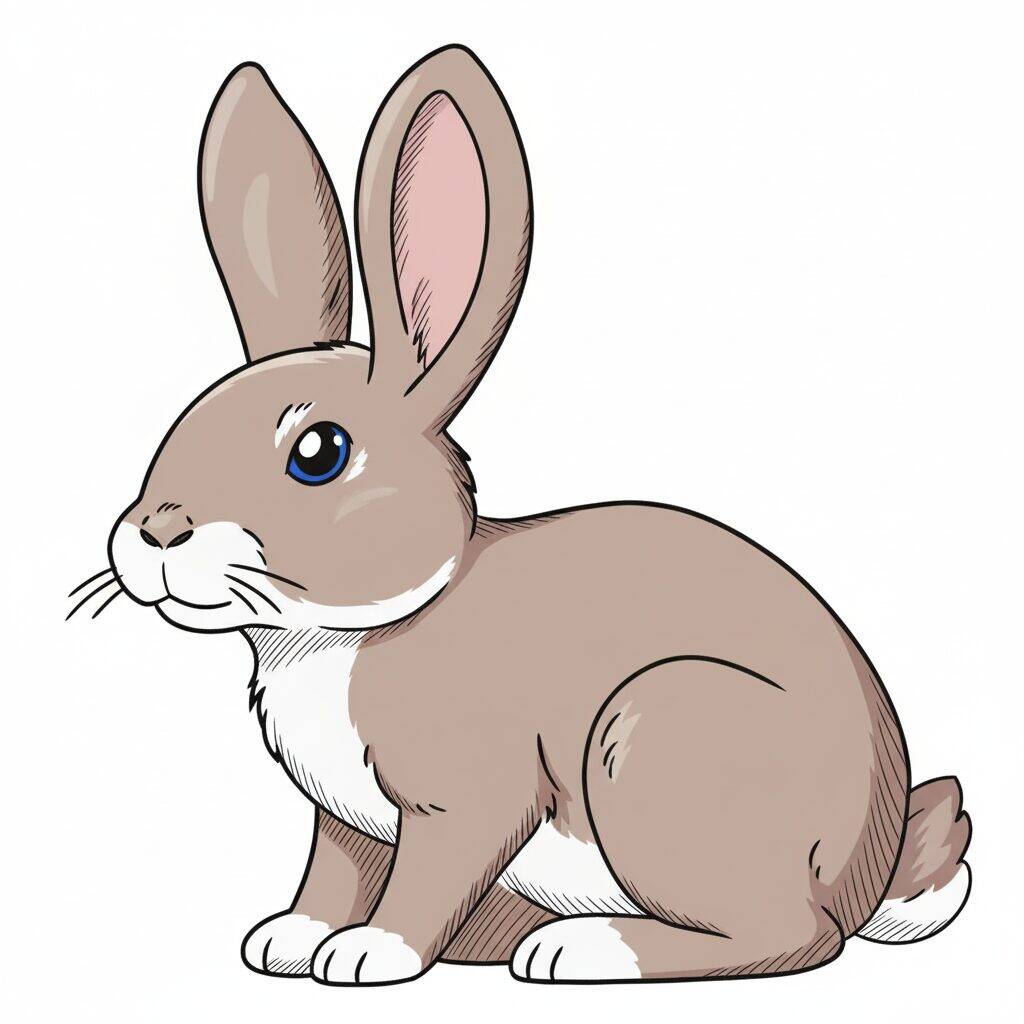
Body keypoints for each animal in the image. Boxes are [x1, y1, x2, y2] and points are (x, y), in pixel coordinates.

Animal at [70, 45, 972, 985]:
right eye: (189, 419)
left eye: (318, 453)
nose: (154, 531)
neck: (351, 632)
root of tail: (865, 868)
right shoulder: (347, 824)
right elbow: (332, 872)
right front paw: (286, 939)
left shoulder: (465, 796)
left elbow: (427, 877)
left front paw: (366, 956)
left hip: (658, 743)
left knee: (790, 937)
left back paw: (576, 948)